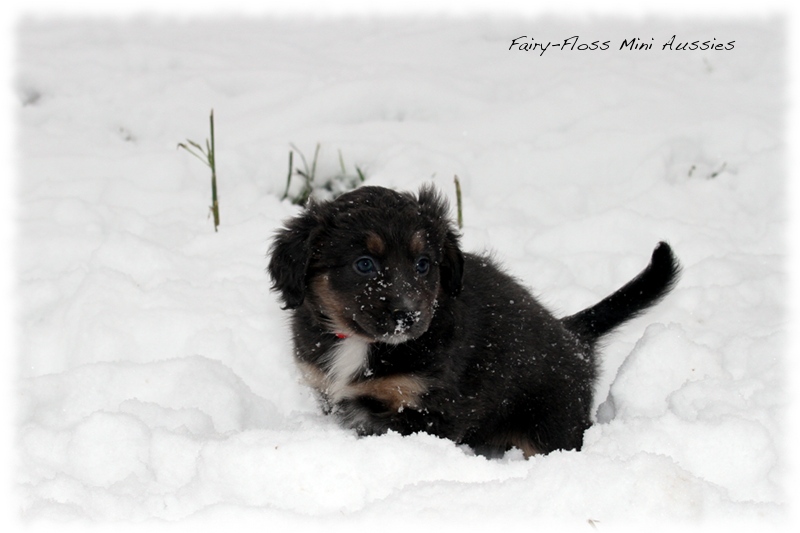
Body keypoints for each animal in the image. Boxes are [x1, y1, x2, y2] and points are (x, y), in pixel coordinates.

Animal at [268, 185, 680, 456]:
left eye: (424, 264)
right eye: (364, 264)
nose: (409, 316)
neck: (360, 344)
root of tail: (571, 334)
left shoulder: (431, 411)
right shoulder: (326, 392)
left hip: (551, 425)